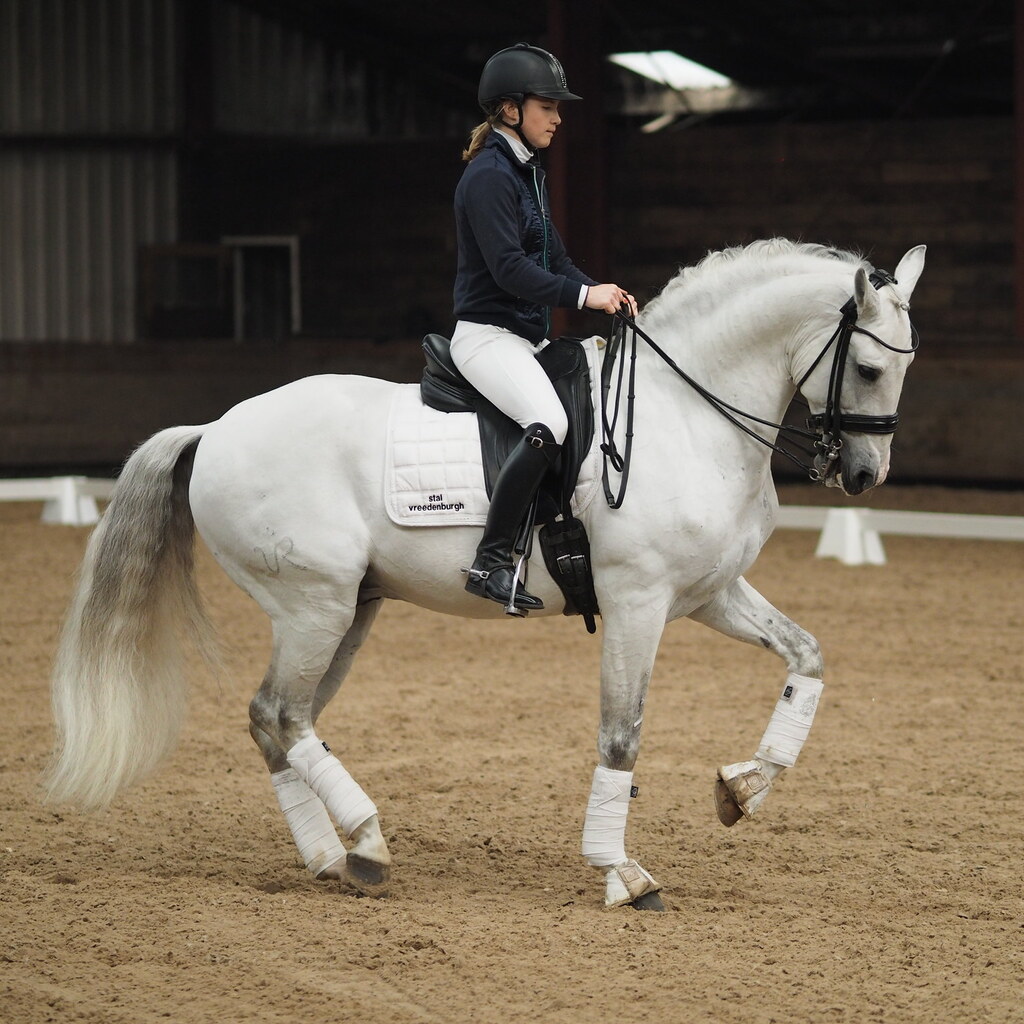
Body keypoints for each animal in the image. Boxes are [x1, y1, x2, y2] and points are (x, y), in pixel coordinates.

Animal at [45, 239, 926, 911]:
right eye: (870, 371)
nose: (863, 476)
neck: (686, 415)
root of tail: (216, 428)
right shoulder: (638, 602)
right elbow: (623, 733)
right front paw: (621, 872)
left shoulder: (708, 595)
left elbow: (807, 656)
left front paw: (740, 791)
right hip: (312, 605)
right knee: (281, 715)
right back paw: (367, 843)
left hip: (347, 611)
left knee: (279, 723)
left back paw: (334, 857)